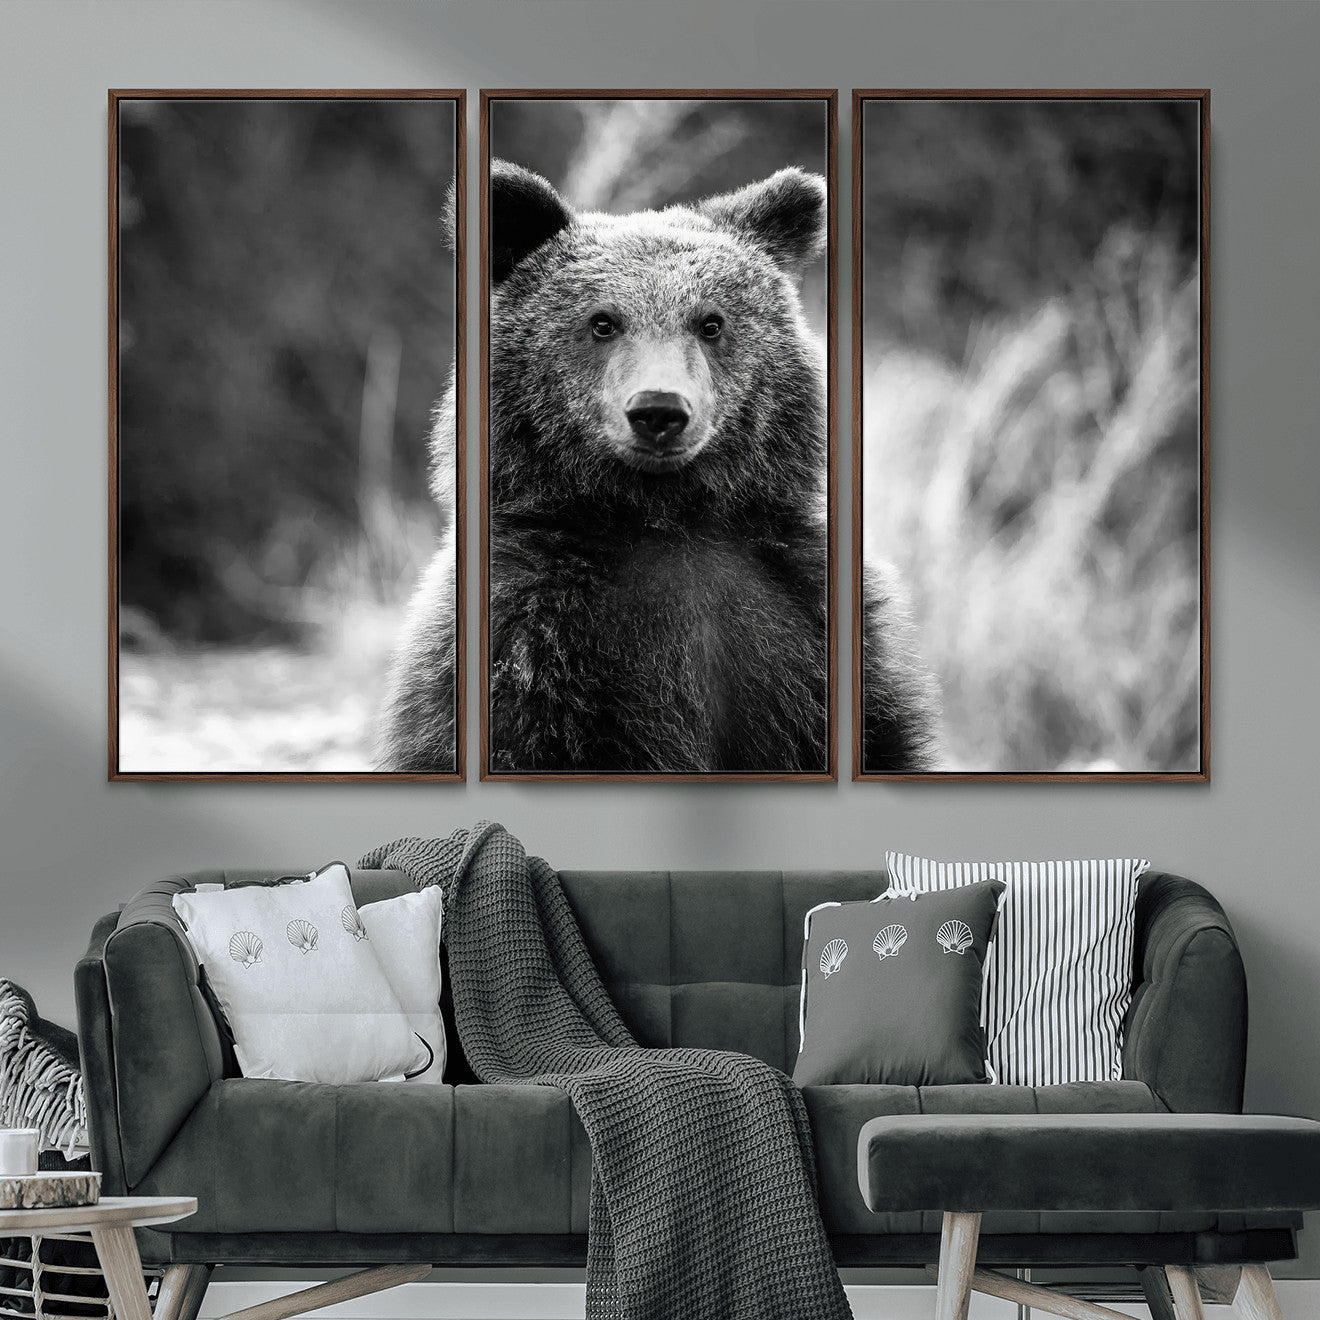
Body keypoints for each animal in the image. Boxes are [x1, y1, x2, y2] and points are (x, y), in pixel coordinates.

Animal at [378, 159, 938, 775]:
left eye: (710, 322)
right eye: (602, 322)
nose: (659, 410)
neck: (665, 517)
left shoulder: (803, 619)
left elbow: (881, 735)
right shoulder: (530, 637)